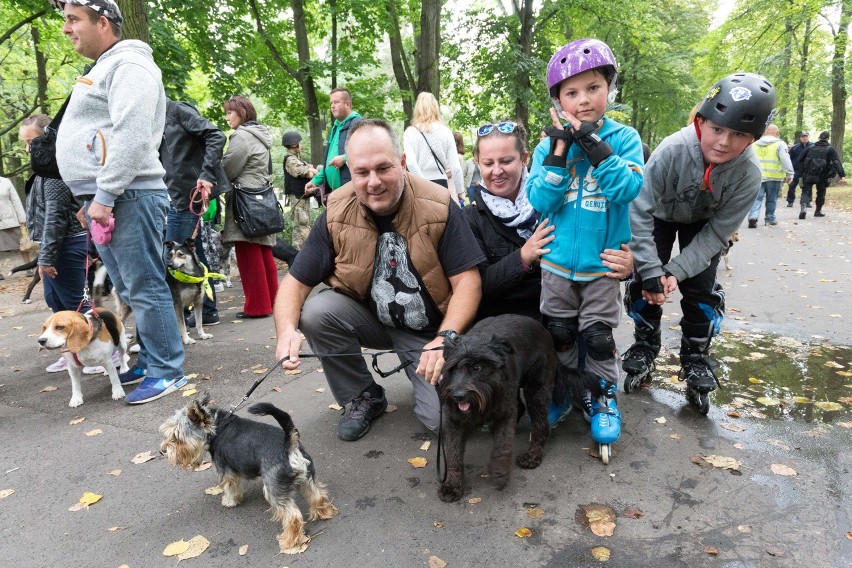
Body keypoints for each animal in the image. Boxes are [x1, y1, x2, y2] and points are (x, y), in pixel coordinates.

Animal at [440, 316, 564, 502]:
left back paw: (532, 456)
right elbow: (453, 453)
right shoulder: (455, 421)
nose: (458, 396)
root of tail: (543, 329)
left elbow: (503, 445)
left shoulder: (505, 415)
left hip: (536, 391)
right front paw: (452, 485)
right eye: (452, 368)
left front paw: (500, 473)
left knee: (541, 424)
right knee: (521, 407)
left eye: (477, 368)